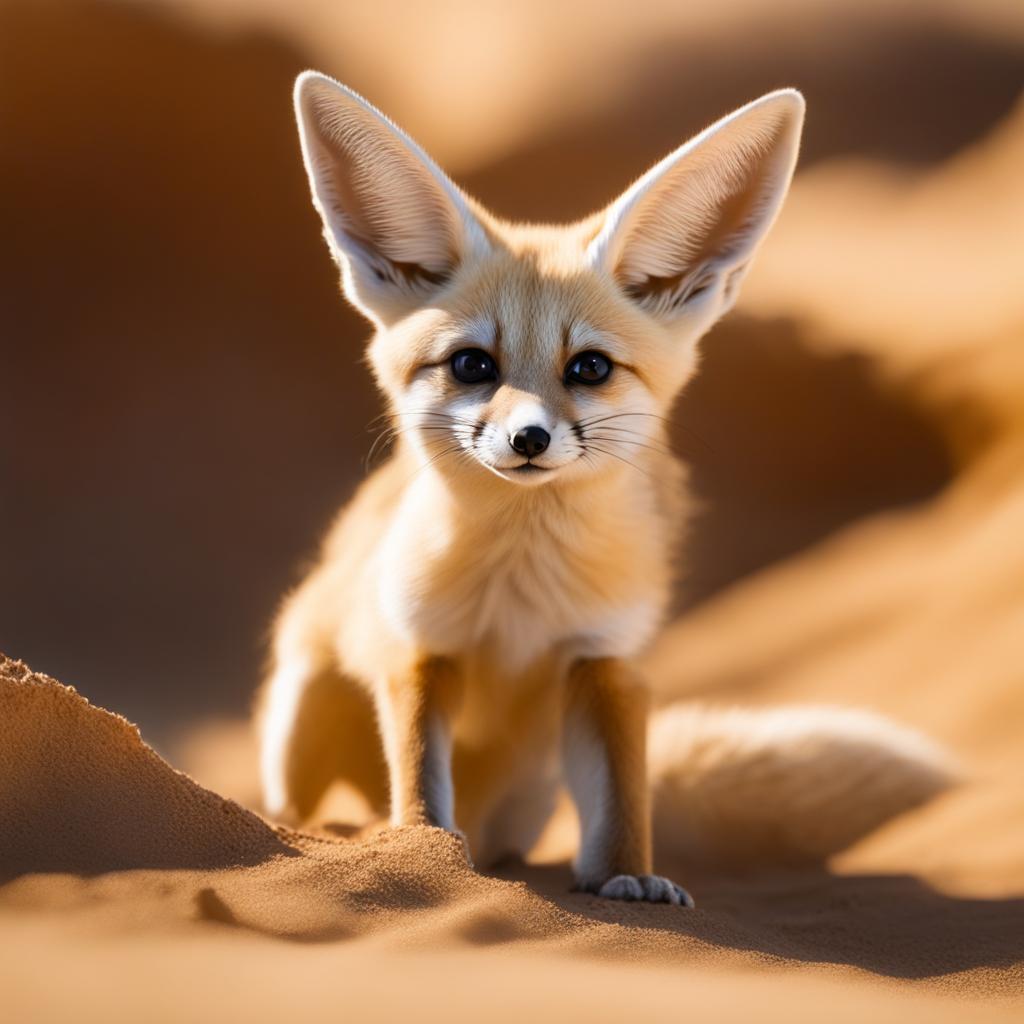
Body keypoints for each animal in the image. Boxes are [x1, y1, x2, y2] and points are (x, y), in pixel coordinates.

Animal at [258, 74, 950, 905]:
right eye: (472, 366)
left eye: (588, 368)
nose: (528, 439)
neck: (520, 595)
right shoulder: (421, 647)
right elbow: (423, 786)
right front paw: (426, 853)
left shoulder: (605, 659)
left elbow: (621, 796)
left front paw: (629, 879)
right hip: (298, 709)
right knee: (295, 803)